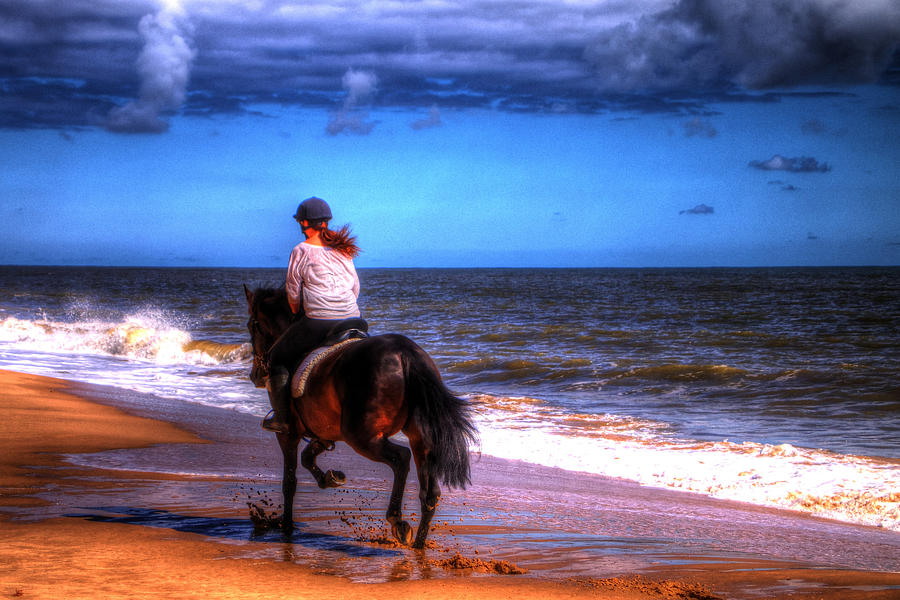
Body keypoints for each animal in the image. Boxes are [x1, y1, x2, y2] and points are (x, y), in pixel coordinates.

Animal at [239, 286, 478, 548]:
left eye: (252, 325)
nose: (255, 375)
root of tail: (405, 353)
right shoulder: (324, 432)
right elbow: (307, 457)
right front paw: (330, 478)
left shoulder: (288, 434)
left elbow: (289, 482)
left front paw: (287, 526)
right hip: (419, 438)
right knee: (429, 492)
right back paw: (418, 545)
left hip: (361, 435)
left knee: (401, 458)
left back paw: (397, 521)